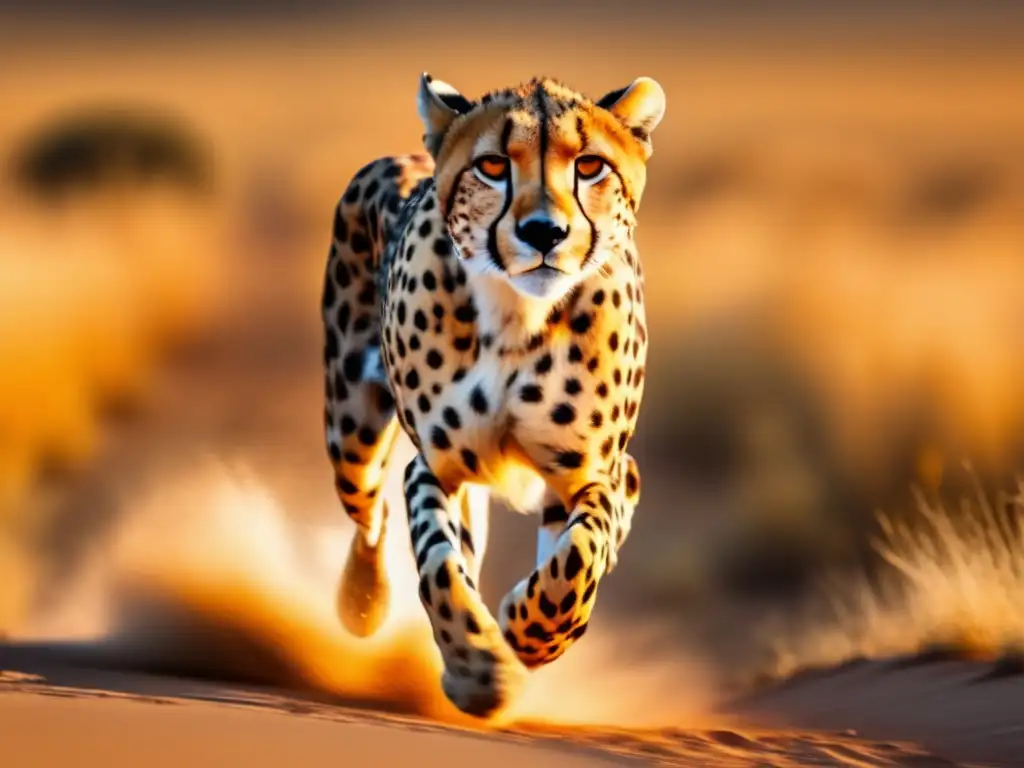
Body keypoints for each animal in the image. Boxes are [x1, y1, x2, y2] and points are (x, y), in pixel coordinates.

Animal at [323, 72, 667, 716]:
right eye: (491, 166)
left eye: (589, 165)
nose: (544, 232)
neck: (517, 318)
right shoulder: (435, 467)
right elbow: (440, 565)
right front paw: (479, 667)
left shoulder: (601, 475)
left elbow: (578, 556)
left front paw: (529, 633)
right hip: (351, 431)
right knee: (370, 514)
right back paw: (361, 602)